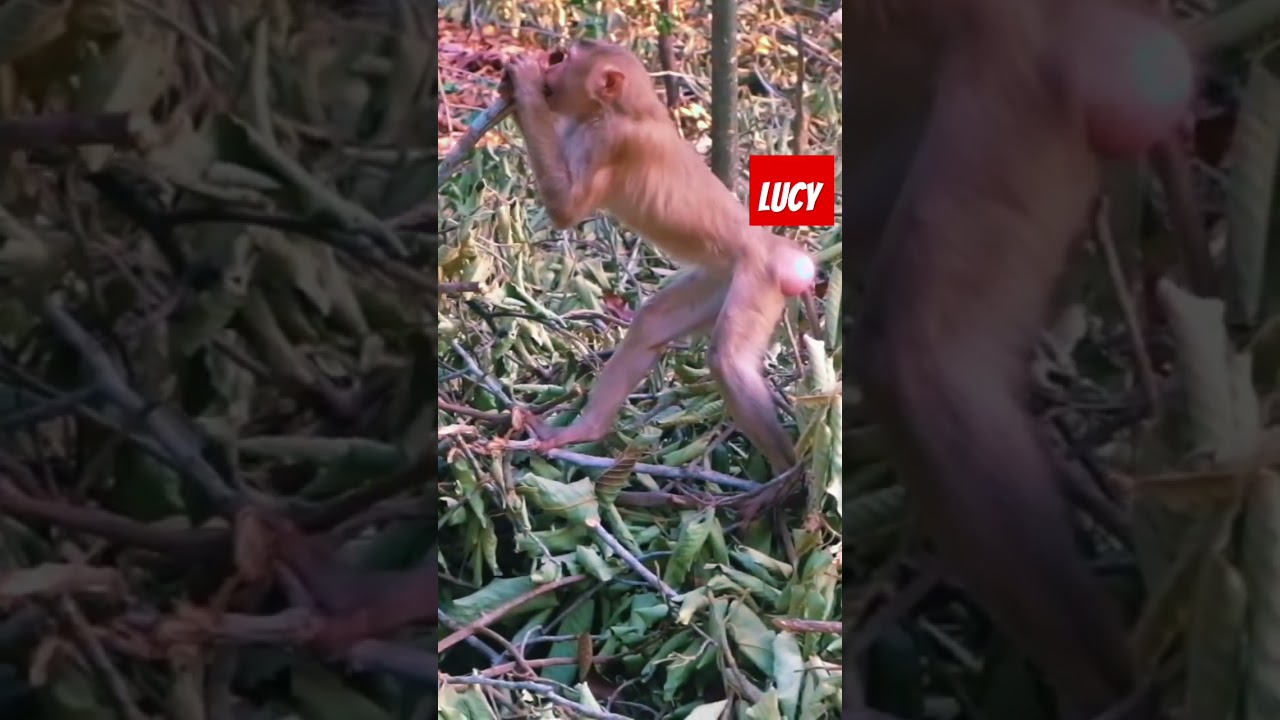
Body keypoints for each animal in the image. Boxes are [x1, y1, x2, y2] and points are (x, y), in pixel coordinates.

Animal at [501, 40, 817, 482]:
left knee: (728, 362)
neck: (621, 109)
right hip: (721, 278)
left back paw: (789, 479)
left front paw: (523, 82)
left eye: (565, 59)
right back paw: (585, 430)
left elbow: (566, 210)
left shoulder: (611, 141)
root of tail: (774, 249)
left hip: (757, 280)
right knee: (651, 323)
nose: (551, 66)